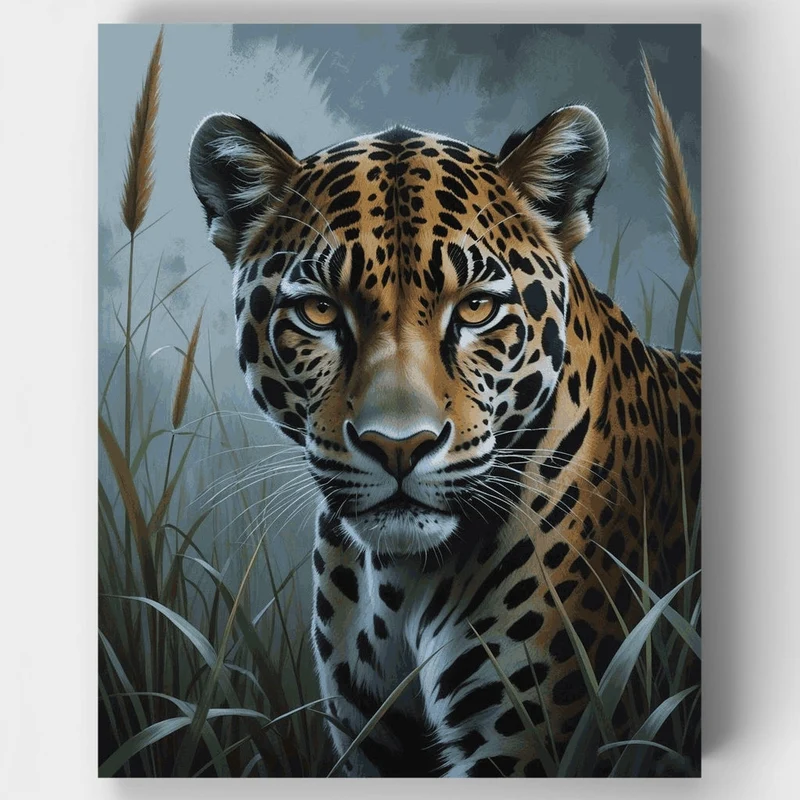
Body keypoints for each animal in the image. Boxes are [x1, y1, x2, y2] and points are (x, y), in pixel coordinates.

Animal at [189, 104, 701, 777]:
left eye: (477, 307)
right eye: (321, 312)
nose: (399, 447)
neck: (397, 587)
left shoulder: (531, 744)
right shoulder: (370, 743)